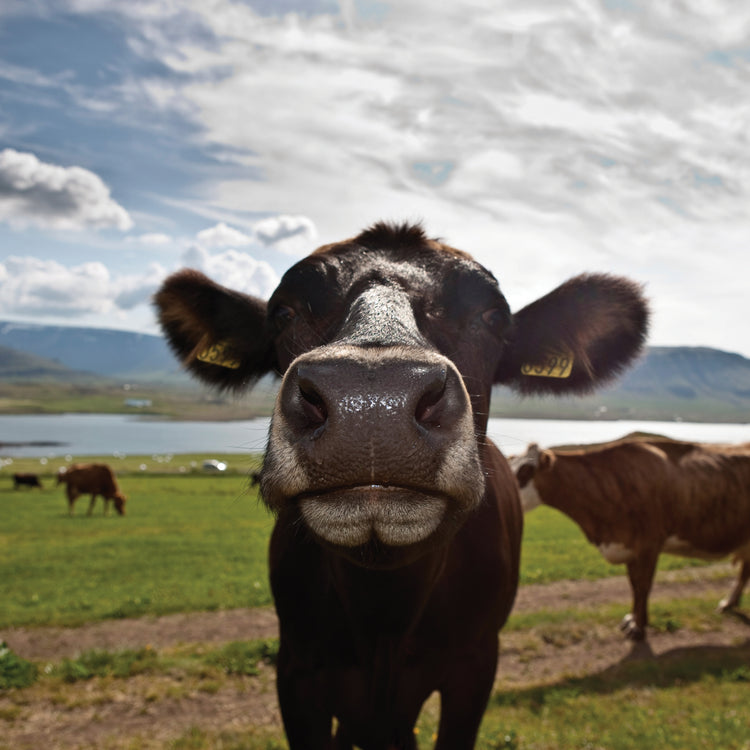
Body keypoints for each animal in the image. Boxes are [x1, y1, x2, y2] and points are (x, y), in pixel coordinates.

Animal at [155, 222, 648, 749]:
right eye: (283, 312)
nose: (372, 400)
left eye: (493, 316)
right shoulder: (297, 669)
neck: (383, 615)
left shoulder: (475, 664)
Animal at [512, 438, 750, 641]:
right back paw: (730, 603)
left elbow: (643, 586)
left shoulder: (649, 545)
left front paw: (639, 627)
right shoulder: (629, 547)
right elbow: (634, 585)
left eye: (525, 470)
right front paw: (632, 619)